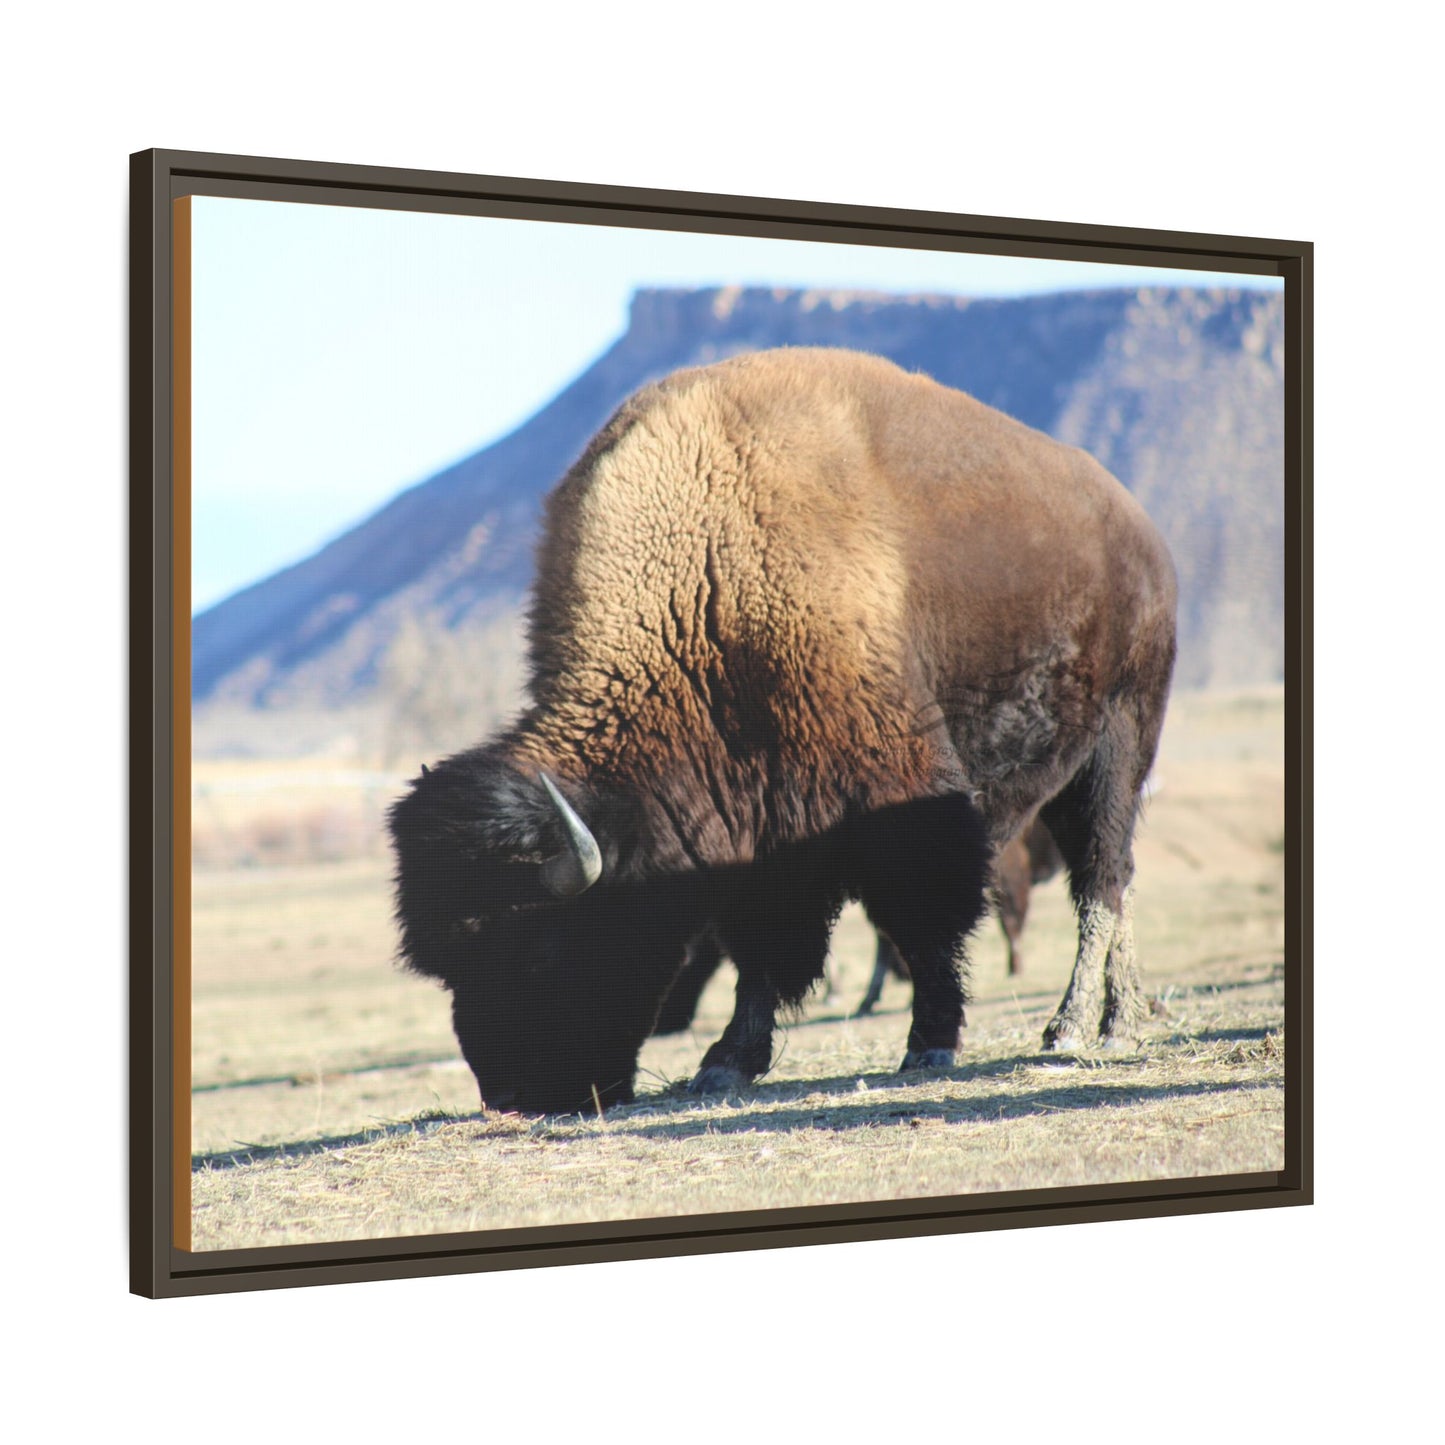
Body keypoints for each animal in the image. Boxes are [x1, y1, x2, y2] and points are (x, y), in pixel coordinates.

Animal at [389, 347, 1177, 1114]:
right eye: (449, 966)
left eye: (540, 947)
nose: (511, 1097)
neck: (705, 585)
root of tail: (1140, 531)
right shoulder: (757, 829)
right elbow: (761, 948)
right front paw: (726, 1062)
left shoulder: (898, 798)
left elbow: (920, 919)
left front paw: (929, 1043)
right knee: (1117, 880)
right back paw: (1121, 1017)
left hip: (1117, 746)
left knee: (1101, 880)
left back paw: (1076, 1027)